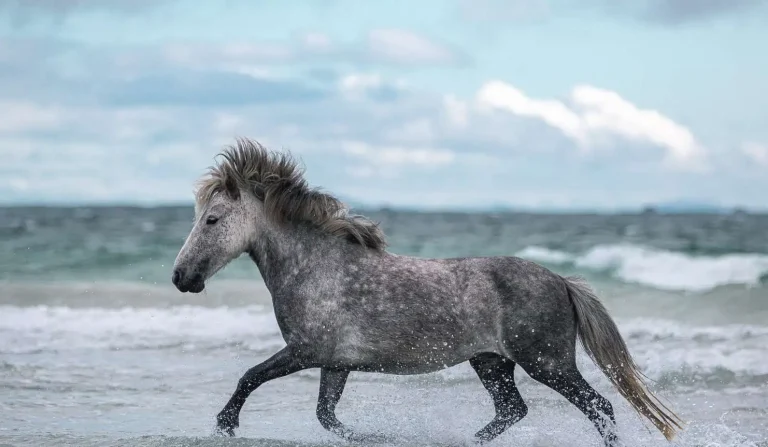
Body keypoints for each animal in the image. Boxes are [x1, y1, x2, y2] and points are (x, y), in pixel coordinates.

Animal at [171, 138, 683, 446]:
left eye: (211, 220)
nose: (181, 278)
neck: (316, 268)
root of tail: (562, 281)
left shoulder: (305, 351)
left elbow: (251, 377)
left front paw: (225, 426)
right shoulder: (334, 363)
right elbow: (327, 416)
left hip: (547, 362)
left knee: (598, 406)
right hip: (492, 362)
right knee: (512, 409)